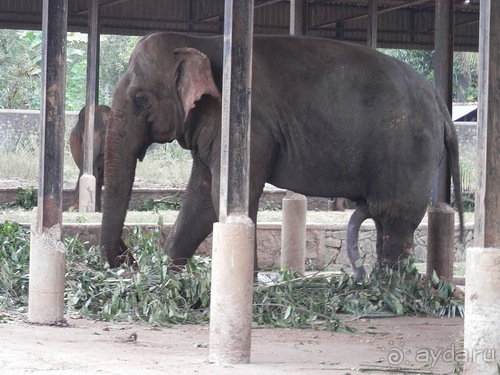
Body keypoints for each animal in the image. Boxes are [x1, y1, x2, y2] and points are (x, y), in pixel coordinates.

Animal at [98, 32, 464, 274]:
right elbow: (202, 197)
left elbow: (226, 195)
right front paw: (168, 279)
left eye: (140, 99)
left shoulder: (246, 125)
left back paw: (390, 292)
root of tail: (440, 103)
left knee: (395, 216)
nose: (129, 259)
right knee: (385, 218)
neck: (198, 41)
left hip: (408, 150)